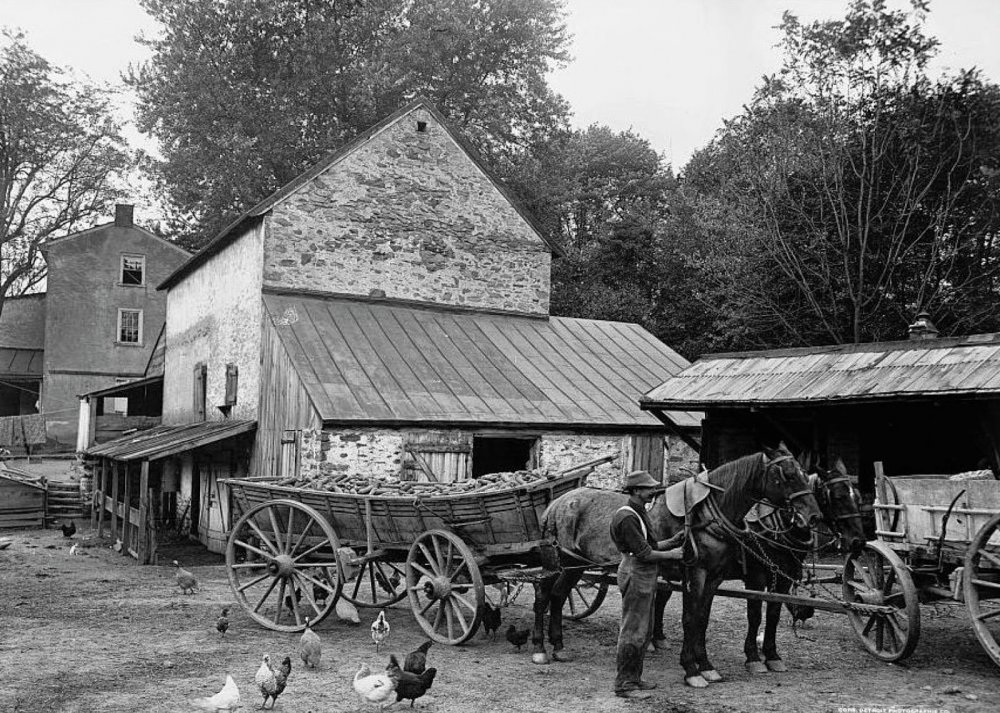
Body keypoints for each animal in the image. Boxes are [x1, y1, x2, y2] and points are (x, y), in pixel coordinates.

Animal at [536, 444, 824, 684]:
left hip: (575, 566)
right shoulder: (699, 573)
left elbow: (703, 619)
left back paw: (558, 646)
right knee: (544, 595)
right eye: (788, 474)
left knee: (559, 596)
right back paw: (540, 648)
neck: (706, 515)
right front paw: (692, 669)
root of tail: (558, 502)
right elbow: (691, 618)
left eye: (805, 475)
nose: (813, 516)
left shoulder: (716, 576)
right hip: (562, 562)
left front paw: (706, 665)